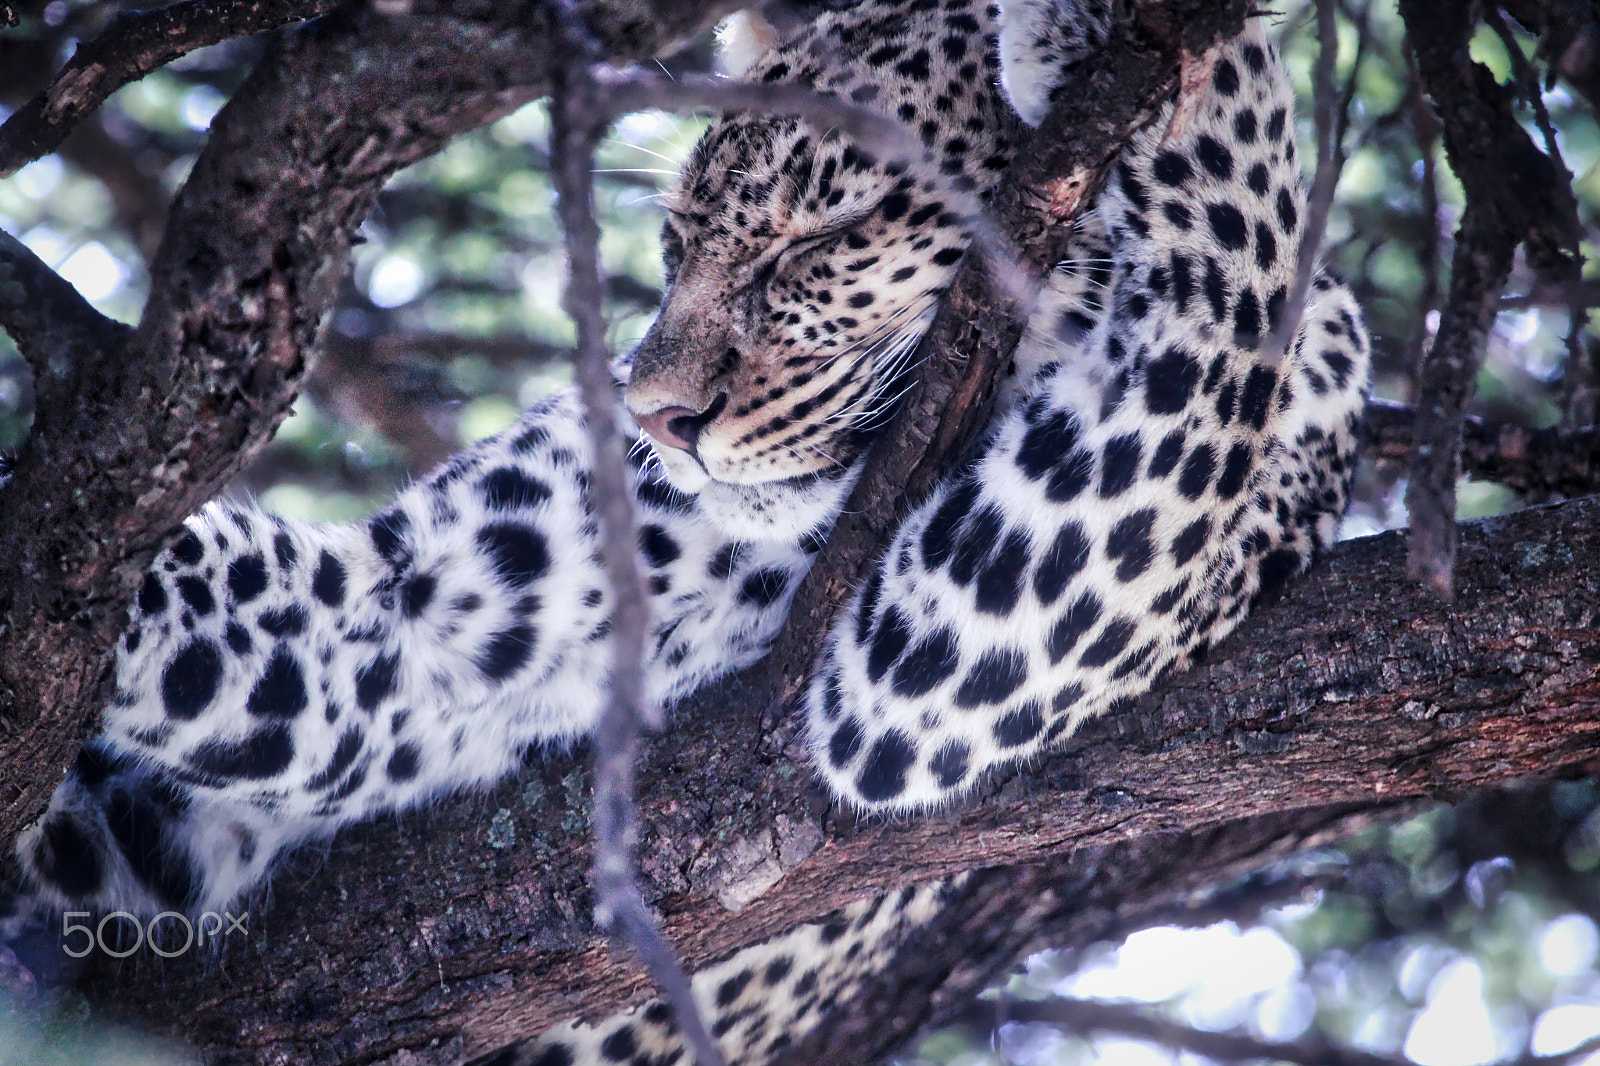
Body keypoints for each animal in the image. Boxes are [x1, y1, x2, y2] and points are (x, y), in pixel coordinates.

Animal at [1, 0, 1369, 1059]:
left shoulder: (943, 665)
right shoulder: (396, 617)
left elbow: (1243, 295)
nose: (653, 419)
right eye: (674, 244)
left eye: (824, 241)